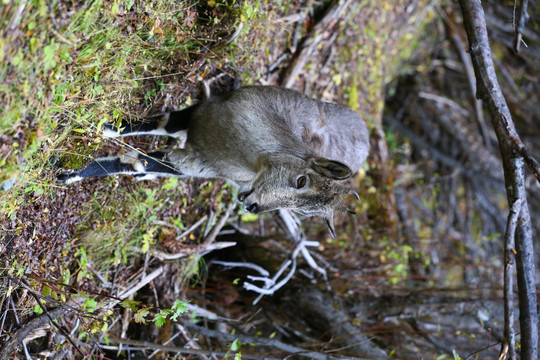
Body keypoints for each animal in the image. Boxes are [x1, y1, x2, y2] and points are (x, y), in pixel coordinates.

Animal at [59, 86, 372, 235]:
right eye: (301, 180)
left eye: (304, 213)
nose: (253, 206)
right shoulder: (199, 115)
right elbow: (157, 123)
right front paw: (102, 127)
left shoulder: (192, 164)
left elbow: (135, 162)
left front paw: (66, 174)